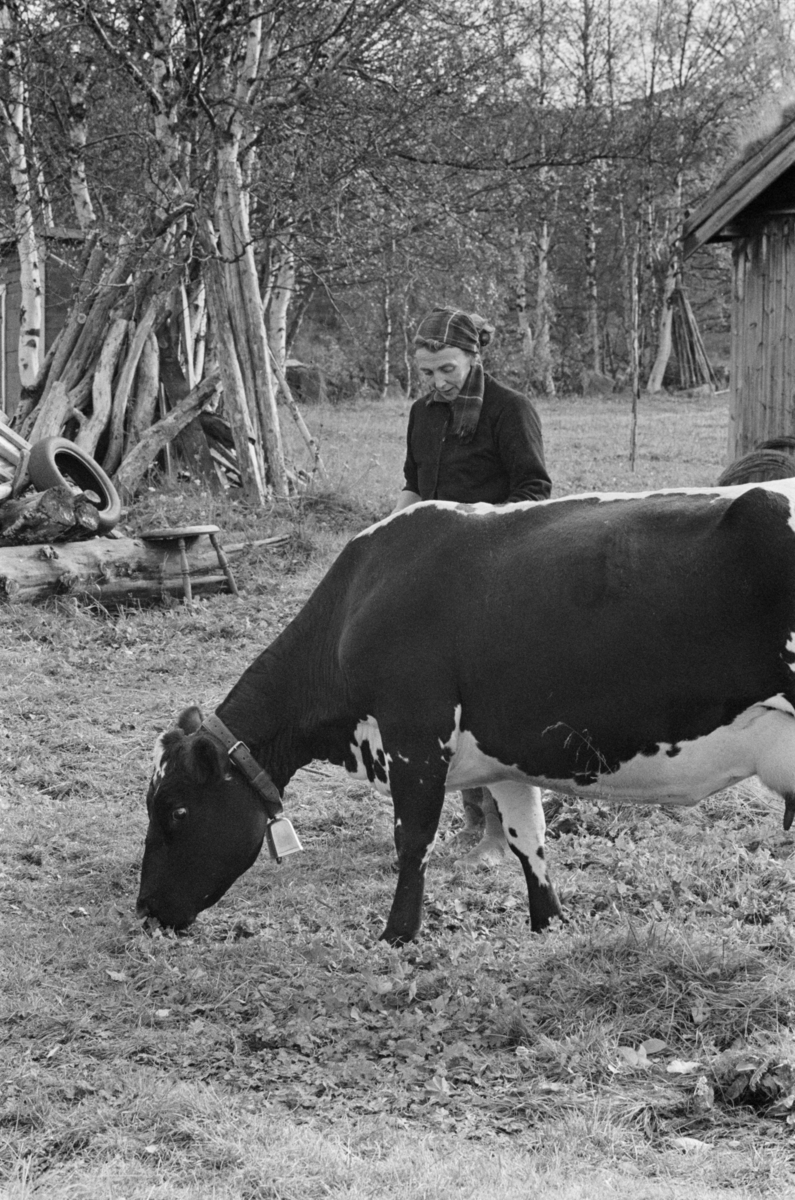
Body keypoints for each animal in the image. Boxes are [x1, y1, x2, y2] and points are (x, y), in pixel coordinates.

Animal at [136, 482, 795, 940]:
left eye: (175, 810)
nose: (144, 910)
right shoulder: (504, 755)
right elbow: (528, 837)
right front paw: (547, 924)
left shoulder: (414, 733)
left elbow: (412, 839)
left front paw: (397, 935)